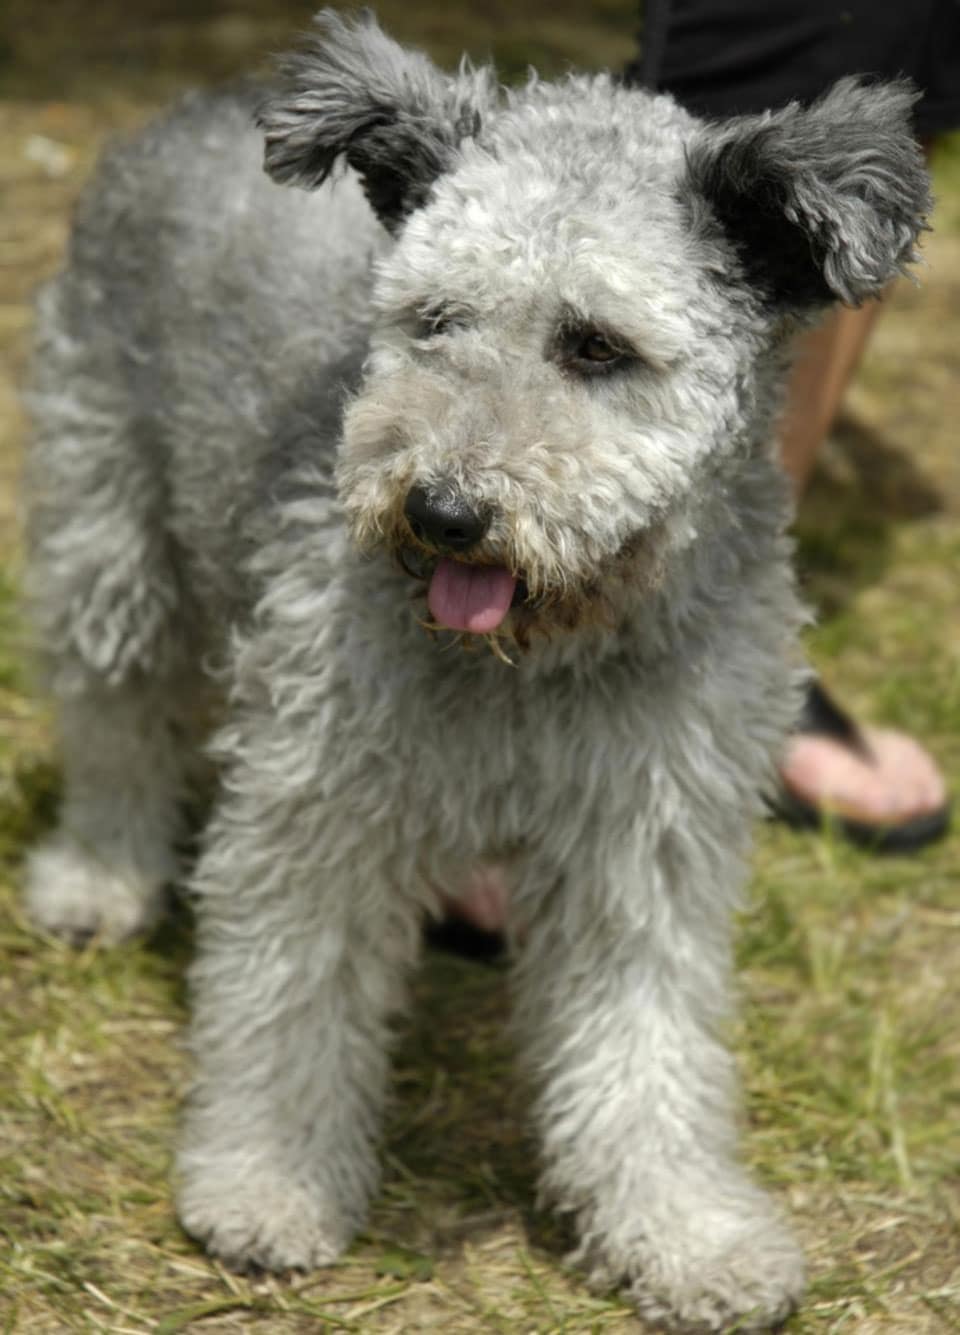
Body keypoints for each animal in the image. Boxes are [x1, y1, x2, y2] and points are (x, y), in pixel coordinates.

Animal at [24, 13, 929, 1335]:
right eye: (435, 319)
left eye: (597, 346)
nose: (443, 512)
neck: (535, 668)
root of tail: (200, 103)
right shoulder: (319, 813)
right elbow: (285, 1008)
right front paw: (268, 1183)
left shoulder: (642, 847)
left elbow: (646, 1050)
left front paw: (684, 1233)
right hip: (108, 534)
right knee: (115, 725)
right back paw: (98, 876)